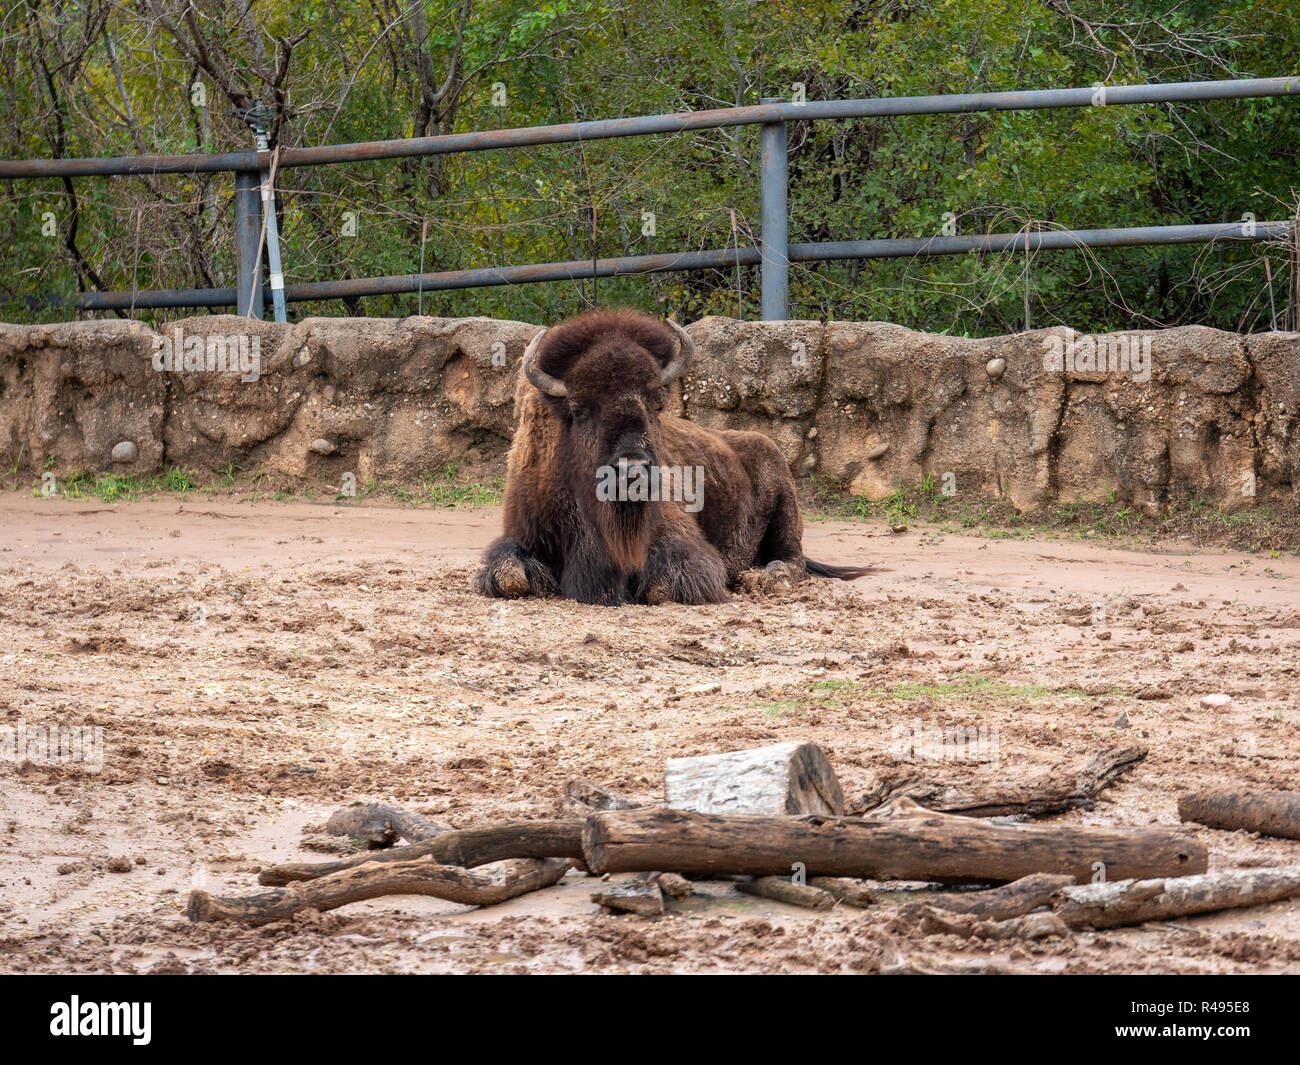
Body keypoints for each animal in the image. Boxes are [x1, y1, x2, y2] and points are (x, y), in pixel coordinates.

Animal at [476, 309, 870, 605]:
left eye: (656, 403)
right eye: (581, 409)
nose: (632, 470)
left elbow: (662, 586)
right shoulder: (522, 531)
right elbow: (509, 576)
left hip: (785, 505)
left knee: (792, 559)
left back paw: (760, 578)